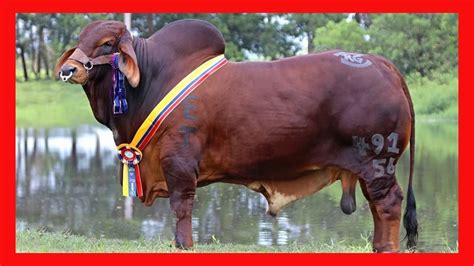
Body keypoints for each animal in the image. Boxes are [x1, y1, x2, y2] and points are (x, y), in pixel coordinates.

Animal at [54, 18, 418, 251]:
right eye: (81, 40)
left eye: (106, 43)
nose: (68, 70)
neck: (152, 79)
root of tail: (381, 63)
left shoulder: (179, 162)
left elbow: (181, 207)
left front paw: (183, 244)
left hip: (377, 162)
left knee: (388, 205)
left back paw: (386, 249)